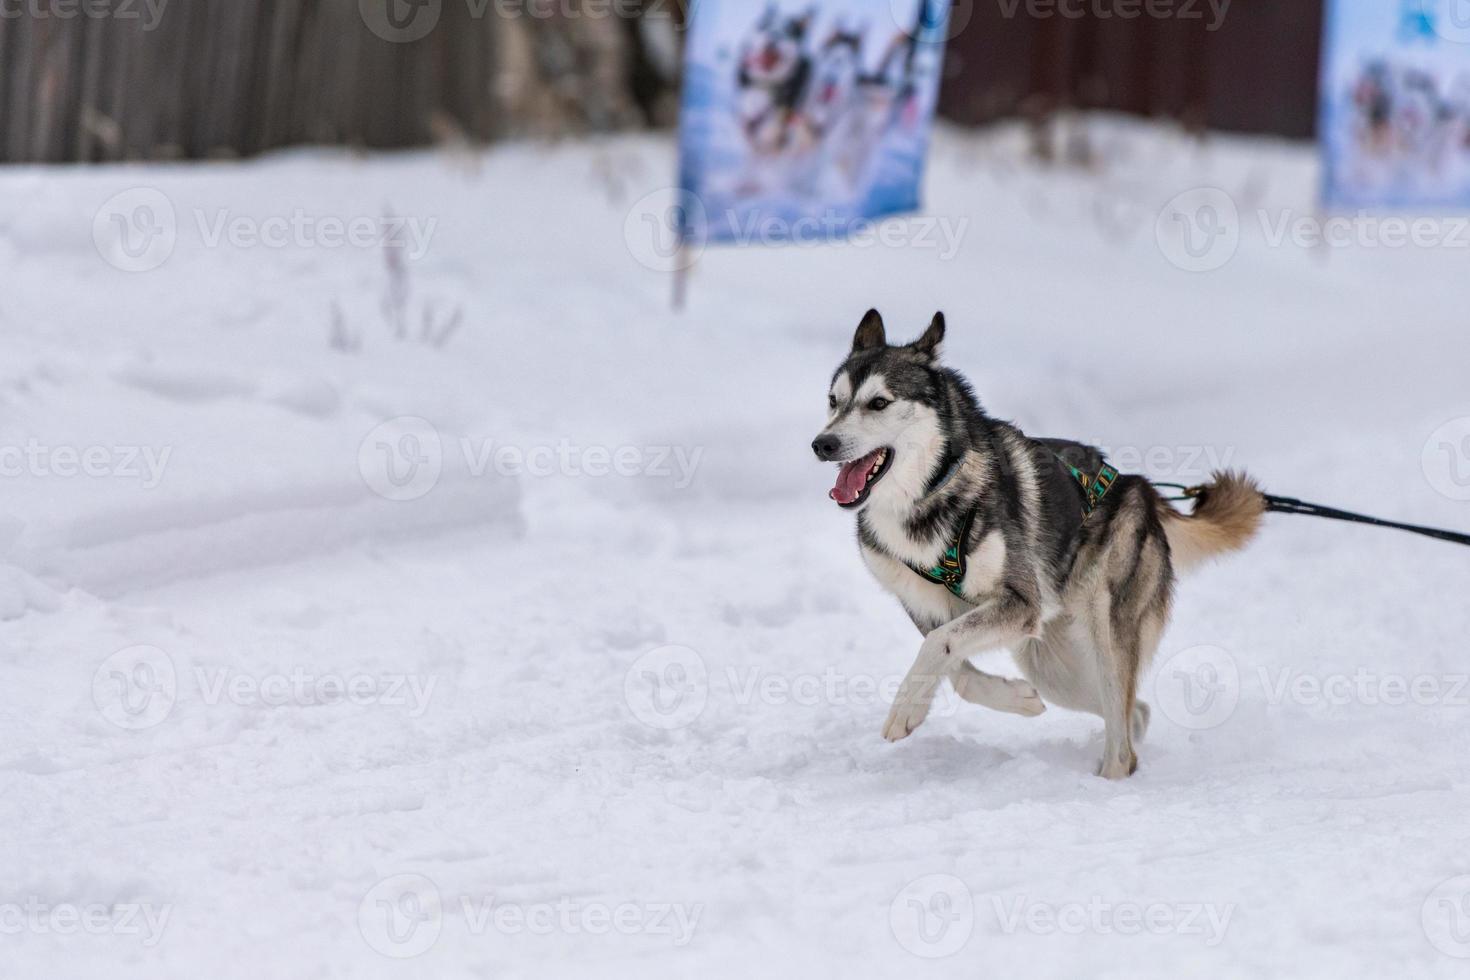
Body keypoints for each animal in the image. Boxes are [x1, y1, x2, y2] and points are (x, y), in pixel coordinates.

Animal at [817, 310, 1264, 775]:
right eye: (833, 400)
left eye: (878, 403)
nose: (822, 444)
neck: (927, 498)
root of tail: (1138, 486)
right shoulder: (927, 606)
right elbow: (953, 665)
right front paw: (1014, 699)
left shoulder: (1019, 603)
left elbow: (938, 645)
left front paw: (905, 709)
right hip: (1051, 666)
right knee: (1134, 712)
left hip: (1104, 635)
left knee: (1123, 742)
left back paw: (1109, 776)